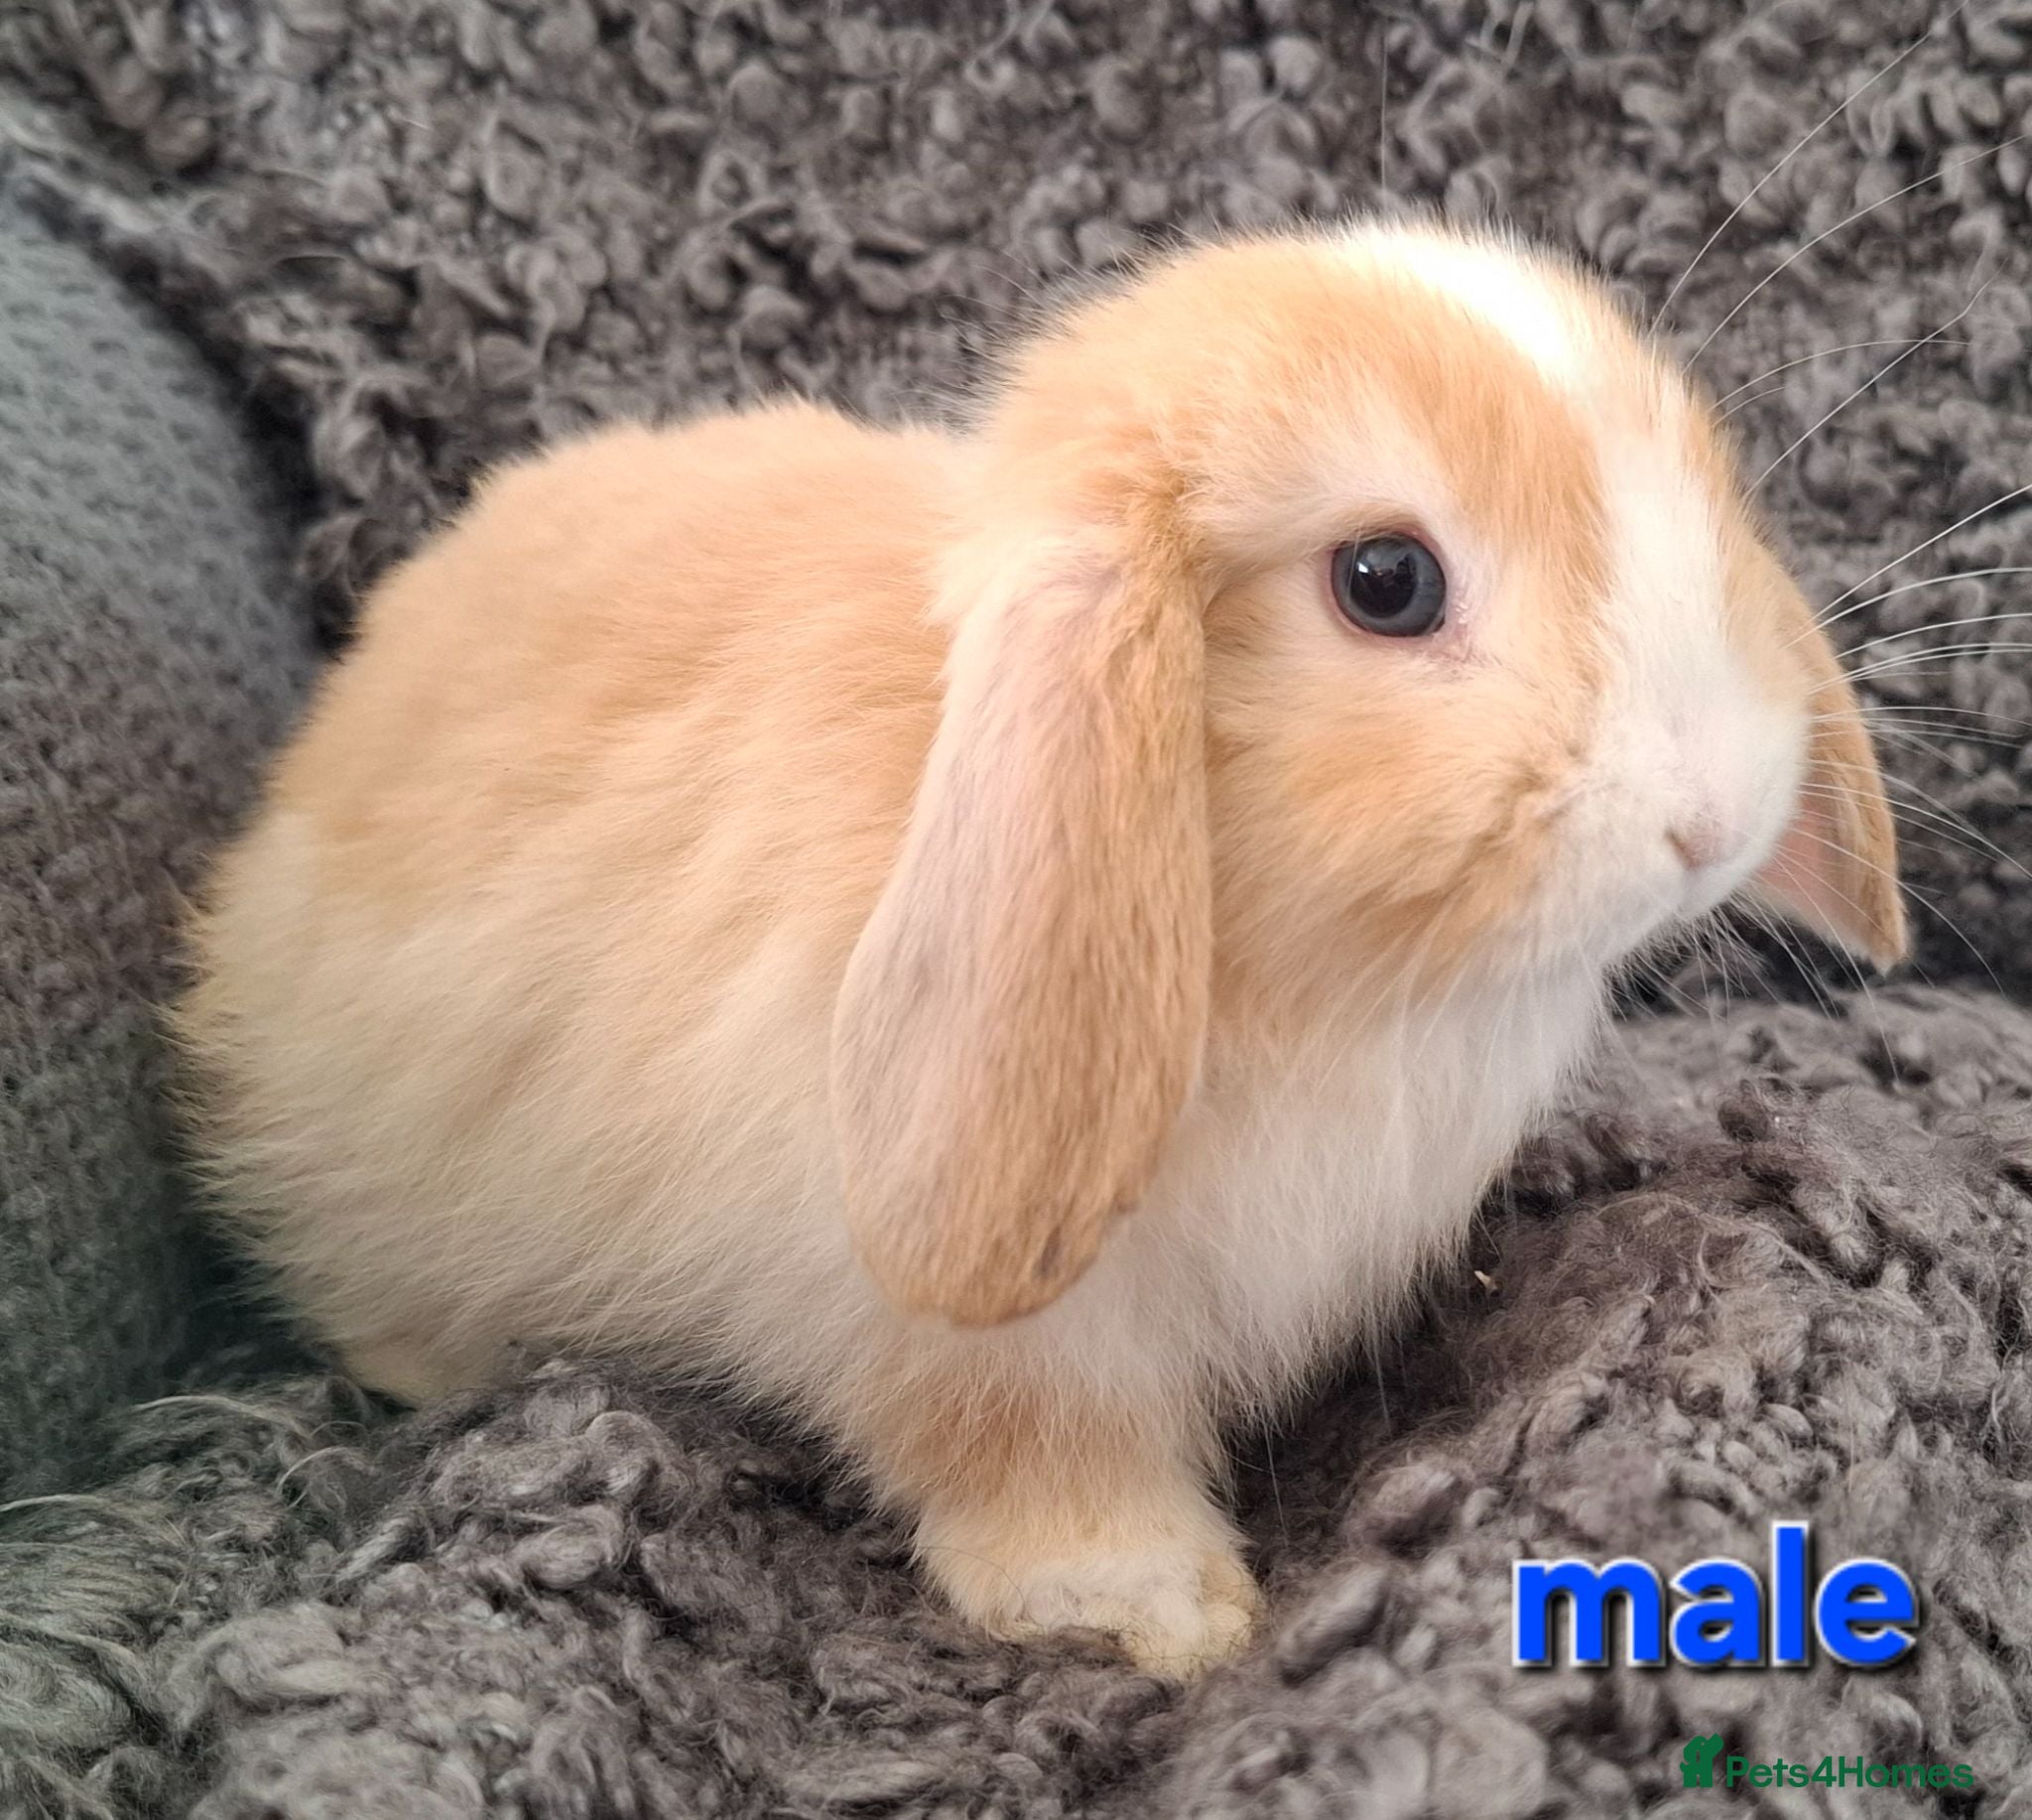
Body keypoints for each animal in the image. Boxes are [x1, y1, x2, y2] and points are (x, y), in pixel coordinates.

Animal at [176, 219, 1905, 1677]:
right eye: (1386, 581)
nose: (1713, 811)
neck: (1304, 970)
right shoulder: (981, 1340)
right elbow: (1029, 1455)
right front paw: (1160, 1613)